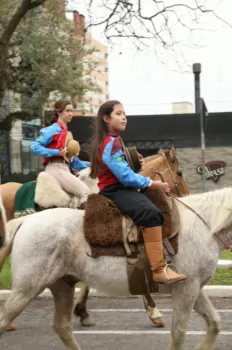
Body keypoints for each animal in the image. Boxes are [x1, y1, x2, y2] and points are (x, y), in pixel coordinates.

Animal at [1, 190, 229, 348]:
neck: (205, 226)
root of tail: (26, 220)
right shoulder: (186, 289)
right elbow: (180, 333)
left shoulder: (194, 288)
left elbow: (215, 323)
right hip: (27, 289)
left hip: (62, 286)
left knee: (62, 327)